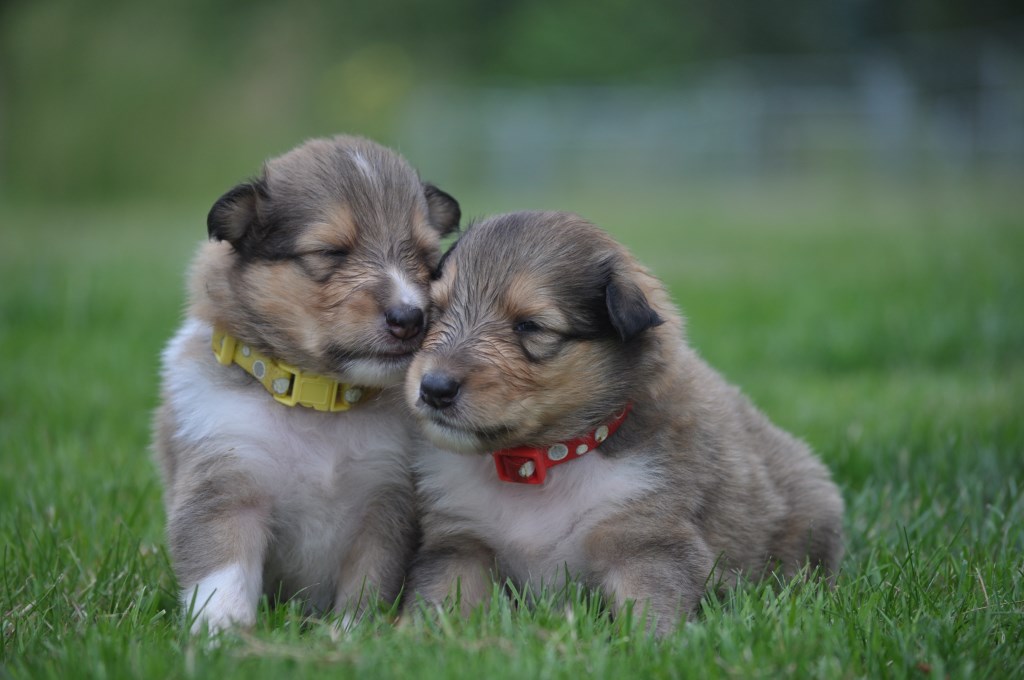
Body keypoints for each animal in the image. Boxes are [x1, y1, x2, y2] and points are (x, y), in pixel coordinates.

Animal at [153, 135, 460, 633]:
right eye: (332, 252)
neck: (319, 401)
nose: (410, 318)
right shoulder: (224, 483)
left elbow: (369, 581)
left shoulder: (386, 504)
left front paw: (350, 633)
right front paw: (223, 633)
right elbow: (222, 571)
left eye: (427, 259)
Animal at [404, 211, 844, 635]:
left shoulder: (646, 541)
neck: (542, 461)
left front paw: (658, 646)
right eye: (436, 311)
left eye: (529, 326)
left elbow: (650, 610)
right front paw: (413, 637)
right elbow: (437, 603)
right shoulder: (459, 544)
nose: (434, 388)